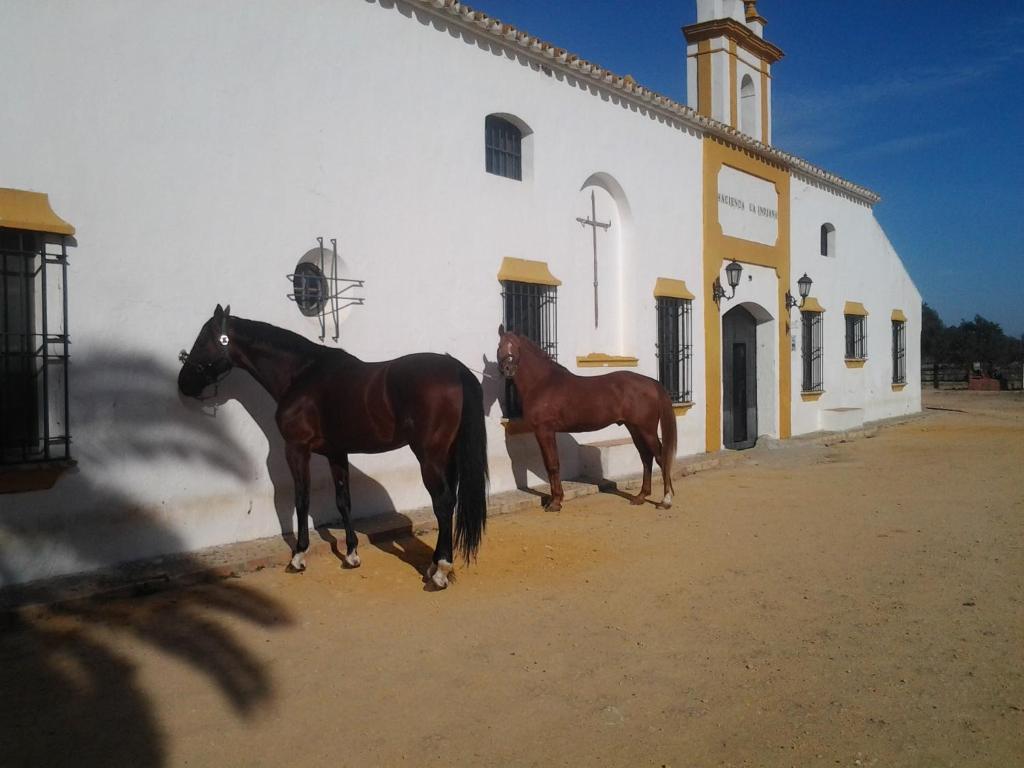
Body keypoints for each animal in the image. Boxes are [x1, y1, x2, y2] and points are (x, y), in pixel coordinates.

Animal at [178, 307, 485, 589]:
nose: (183, 383)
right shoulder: (337, 453)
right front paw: (351, 555)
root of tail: (455, 369)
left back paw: (440, 572)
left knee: (443, 503)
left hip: (429, 457)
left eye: (202, 340)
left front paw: (298, 557)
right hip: (447, 456)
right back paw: (434, 565)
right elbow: (343, 500)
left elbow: (301, 500)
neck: (301, 374)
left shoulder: (297, 449)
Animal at [497, 327, 675, 514]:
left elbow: (553, 465)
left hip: (647, 430)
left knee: (661, 457)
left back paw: (665, 501)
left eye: (516, 347)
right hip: (634, 428)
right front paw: (555, 499)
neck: (541, 383)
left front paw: (555, 502)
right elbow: (550, 464)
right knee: (646, 457)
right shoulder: (544, 432)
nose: (508, 368)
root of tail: (652, 383)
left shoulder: (544, 430)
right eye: (500, 345)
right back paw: (640, 496)